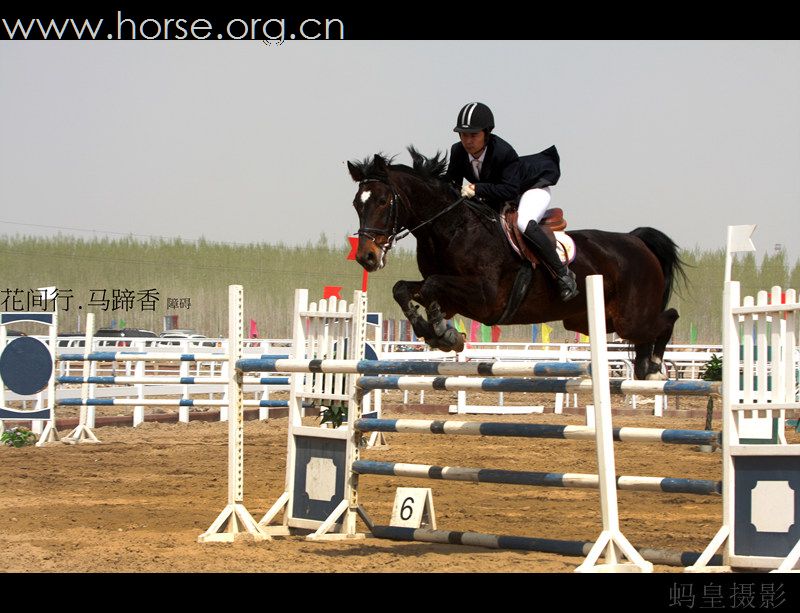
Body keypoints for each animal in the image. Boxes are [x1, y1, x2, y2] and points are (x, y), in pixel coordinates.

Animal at [346, 148, 684, 378]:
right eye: (356, 204)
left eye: (383, 201)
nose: (367, 257)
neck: (452, 228)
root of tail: (637, 241)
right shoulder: (453, 298)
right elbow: (404, 288)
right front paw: (438, 332)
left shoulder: (486, 299)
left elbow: (430, 287)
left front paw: (443, 333)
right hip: (592, 320)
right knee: (649, 331)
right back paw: (644, 366)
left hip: (630, 318)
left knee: (668, 318)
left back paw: (654, 368)